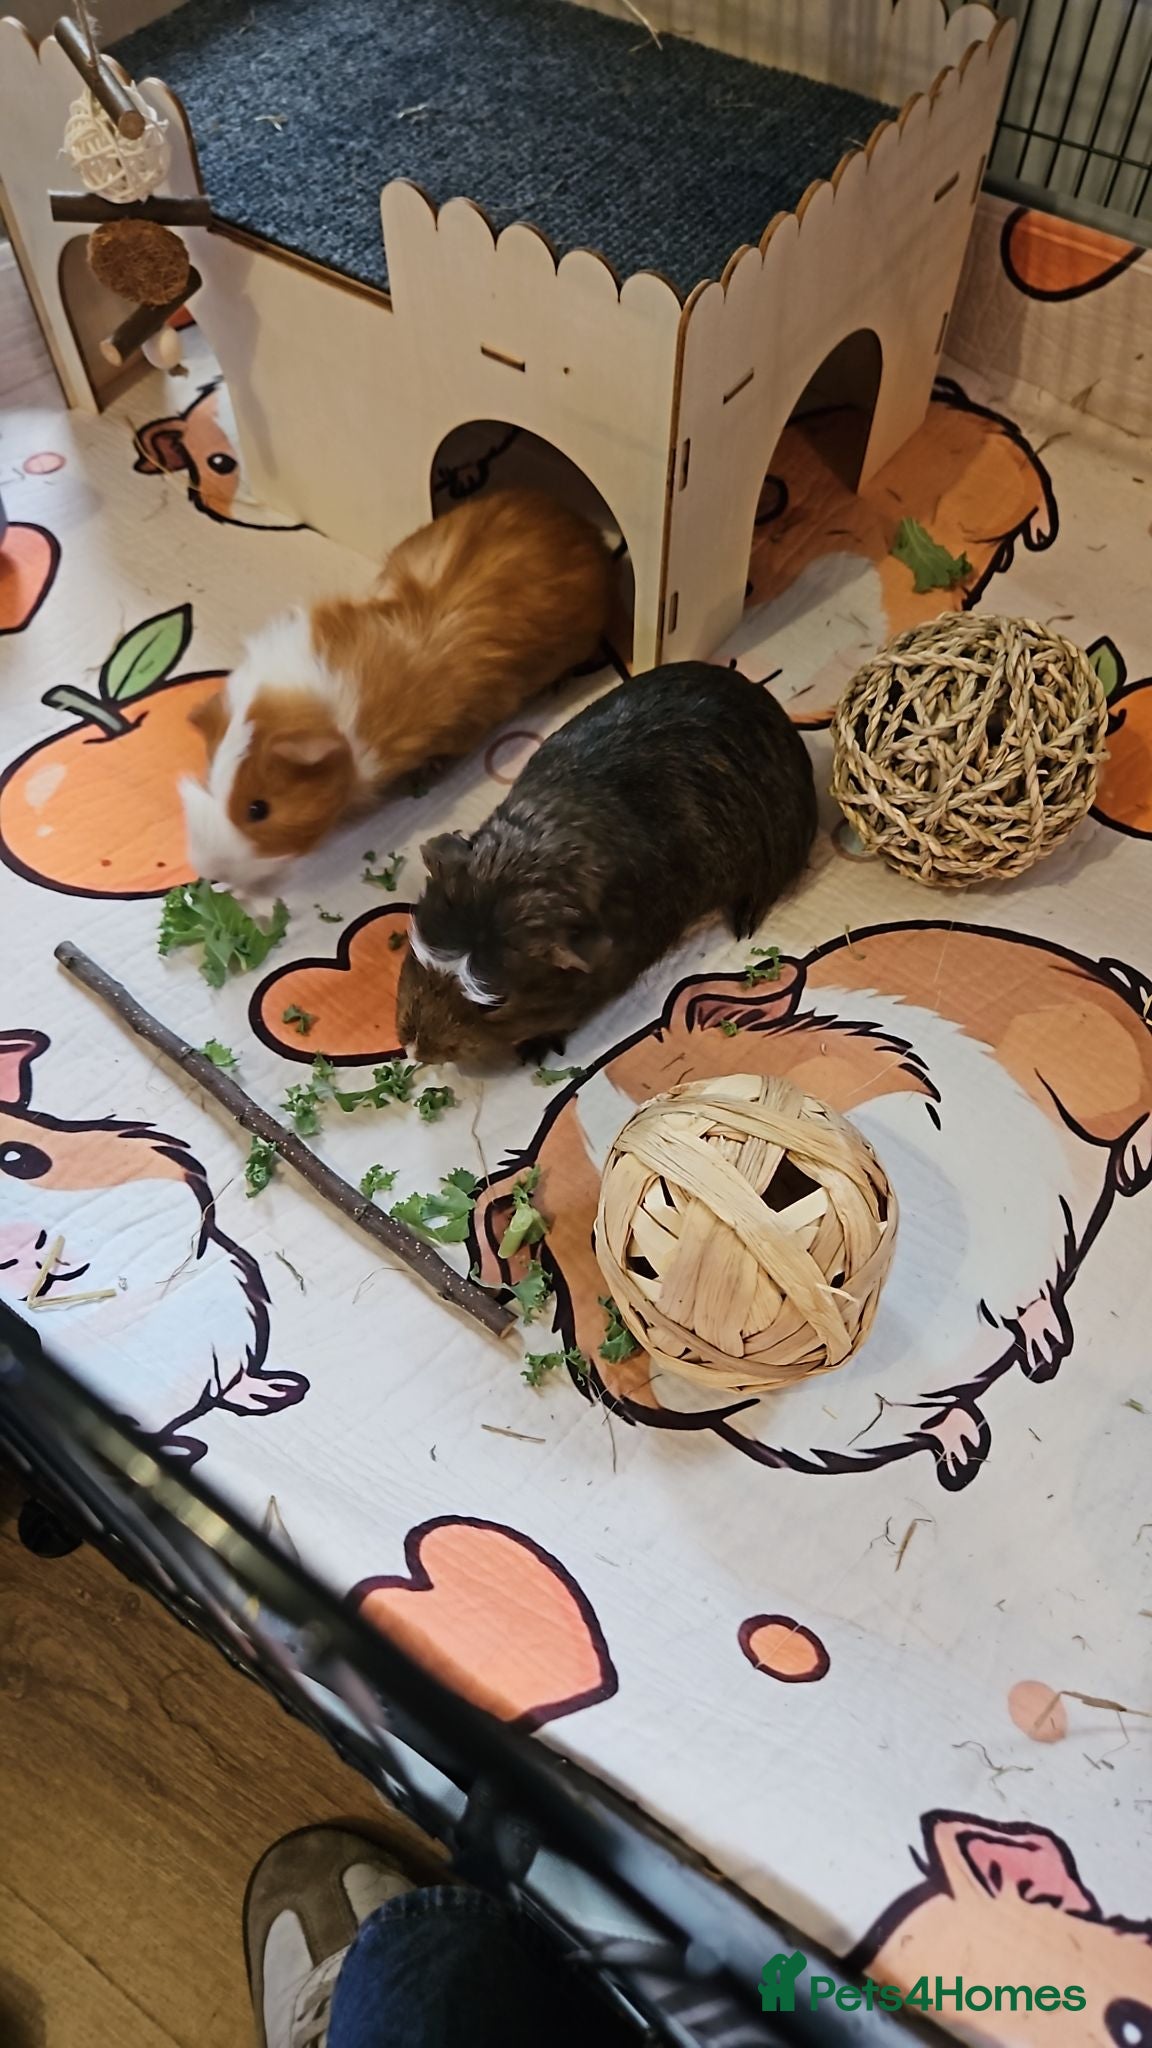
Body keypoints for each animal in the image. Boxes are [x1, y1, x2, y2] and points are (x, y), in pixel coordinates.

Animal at [474, 924, 1152, 1489]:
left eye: (697, 1086)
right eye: (592, 1244)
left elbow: (1026, 1297)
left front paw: (1045, 1345)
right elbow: (936, 1418)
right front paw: (962, 1449)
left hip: (1095, 1082)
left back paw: (1134, 1162)